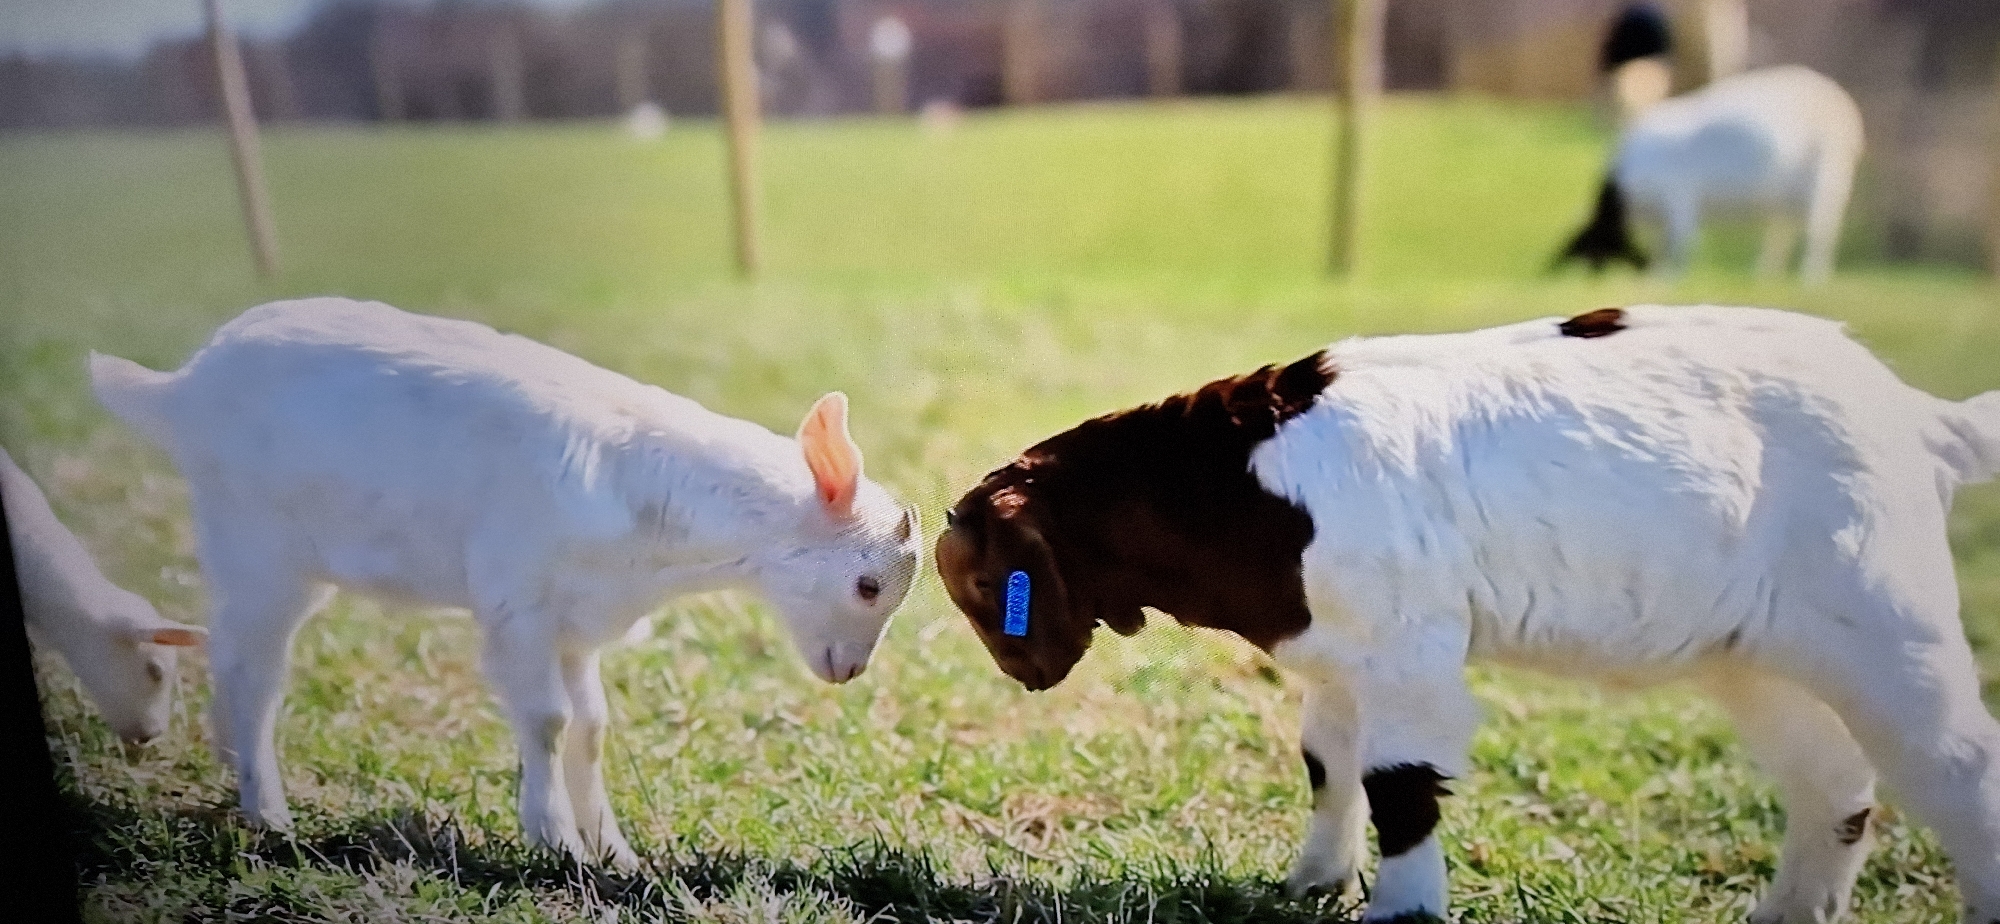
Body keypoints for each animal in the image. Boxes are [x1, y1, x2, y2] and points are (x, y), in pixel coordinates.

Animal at [90, 297, 922, 869]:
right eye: (867, 586)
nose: (849, 670)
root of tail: (180, 388)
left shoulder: (580, 622)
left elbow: (591, 727)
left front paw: (613, 851)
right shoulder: (517, 601)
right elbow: (549, 721)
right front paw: (556, 842)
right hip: (260, 546)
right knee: (254, 666)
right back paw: (269, 811)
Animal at [936, 305, 2000, 923]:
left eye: (988, 588)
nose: (1024, 673)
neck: (1246, 483)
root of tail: (1922, 418)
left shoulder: (1409, 653)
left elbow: (1400, 784)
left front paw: (1400, 914)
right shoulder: (1340, 651)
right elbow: (1328, 765)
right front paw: (1312, 884)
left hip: (1885, 621)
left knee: (1959, 767)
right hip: (1757, 654)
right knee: (1835, 785)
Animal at [1557, 66, 1863, 284]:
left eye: (1593, 246)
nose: (1591, 278)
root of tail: (1846, 109)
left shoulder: (1678, 195)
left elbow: (1681, 241)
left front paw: (1665, 280)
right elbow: (1664, 244)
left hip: (1827, 172)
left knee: (1820, 228)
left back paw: (1811, 279)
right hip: (1787, 194)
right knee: (1782, 231)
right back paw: (1764, 275)